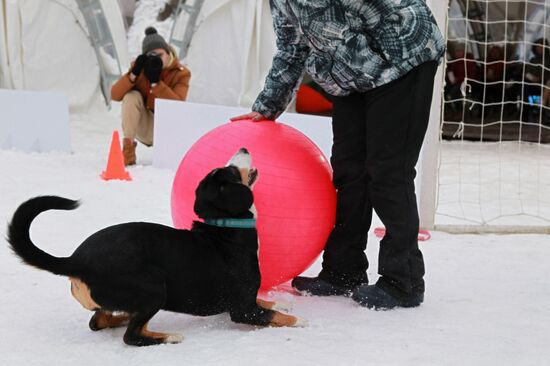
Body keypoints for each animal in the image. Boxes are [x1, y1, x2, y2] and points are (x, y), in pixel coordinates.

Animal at [6, 149, 304, 346]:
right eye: (231, 171)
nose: (243, 149)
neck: (223, 229)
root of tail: (76, 260)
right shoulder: (242, 309)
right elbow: (273, 316)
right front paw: (301, 321)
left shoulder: (247, 301)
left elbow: (267, 304)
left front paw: (277, 301)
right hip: (153, 289)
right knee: (131, 336)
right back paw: (167, 336)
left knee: (99, 321)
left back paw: (124, 317)